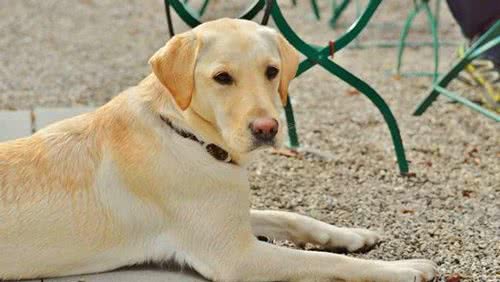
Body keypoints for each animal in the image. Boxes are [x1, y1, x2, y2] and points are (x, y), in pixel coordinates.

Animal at [0, 18, 438, 280]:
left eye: (272, 71)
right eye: (222, 77)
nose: (267, 129)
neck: (186, 134)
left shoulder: (233, 218)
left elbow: (292, 217)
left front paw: (351, 235)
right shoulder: (237, 255)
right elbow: (326, 262)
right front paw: (404, 269)